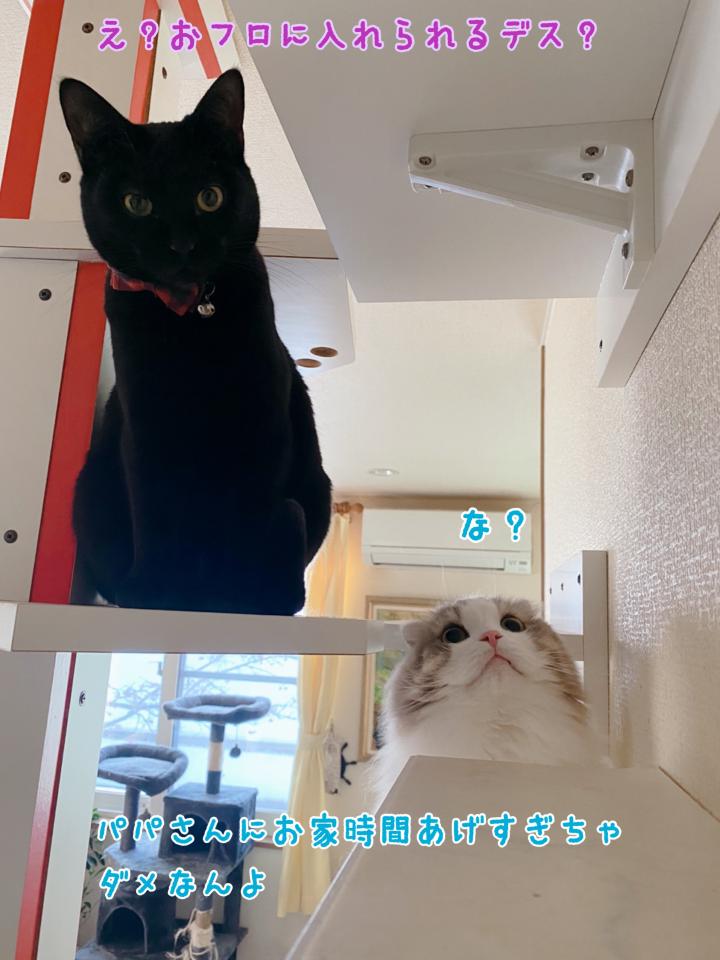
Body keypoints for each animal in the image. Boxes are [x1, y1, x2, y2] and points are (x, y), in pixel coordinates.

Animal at [58, 69, 331, 615]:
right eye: (136, 203)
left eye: (210, 197)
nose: (182, 245)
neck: (190, 315)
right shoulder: (145, 426)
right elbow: (154, 510)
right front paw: (156, 591)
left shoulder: (261, 422)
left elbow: (243, 516)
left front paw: (233, 595)